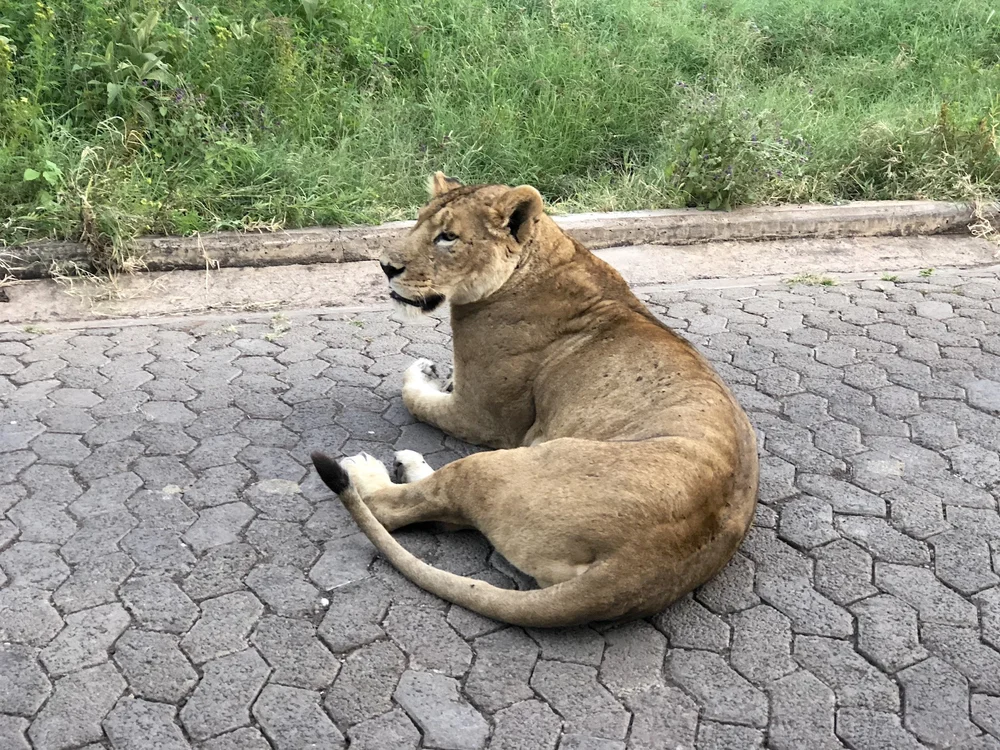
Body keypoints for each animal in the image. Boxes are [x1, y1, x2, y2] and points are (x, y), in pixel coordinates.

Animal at [311, 172, 759, 627]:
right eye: (418, 222)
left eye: (448, 237)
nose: (386, 267)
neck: (545, 258)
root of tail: (642, 568)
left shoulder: (481, 416)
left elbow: (412, 396)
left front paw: (422, 374)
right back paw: (409, 463)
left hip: (496, 464)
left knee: (397, 508)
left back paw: (365, 470)